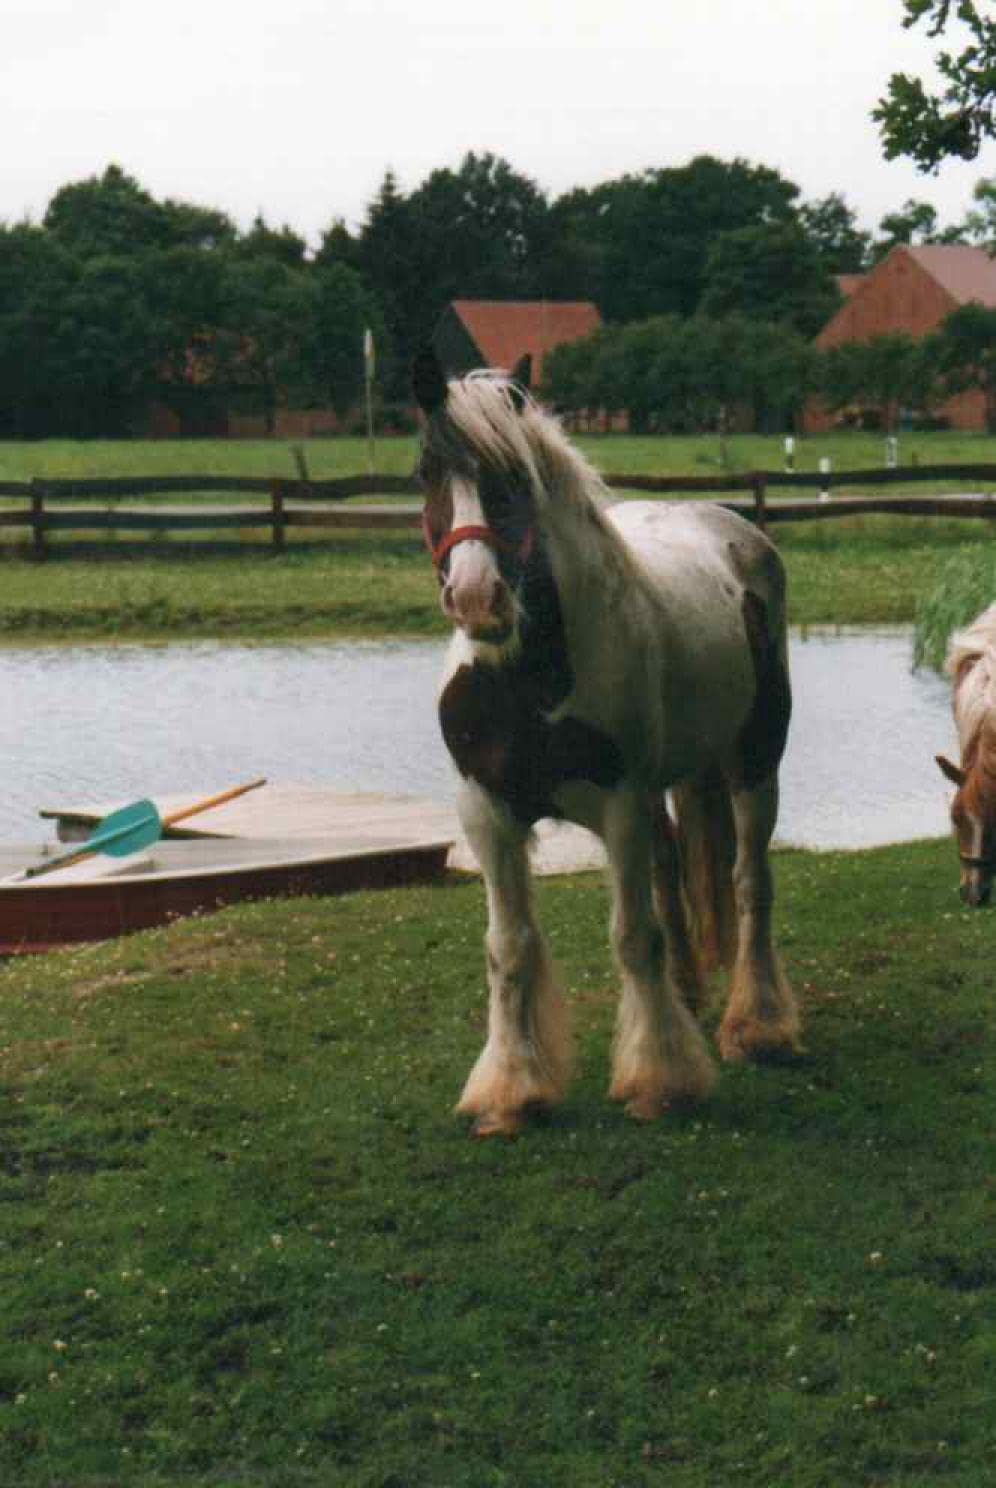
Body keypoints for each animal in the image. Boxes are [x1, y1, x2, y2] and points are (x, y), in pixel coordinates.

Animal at [413, 347, 801, 1135]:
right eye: (427, 472)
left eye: (516, 476)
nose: (477, 598)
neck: (527, 679)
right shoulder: (486, 813)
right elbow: (510, 948)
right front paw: (511, 1091)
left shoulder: (618, 806)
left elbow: (632, 934)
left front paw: (660, 1078)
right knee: (674, 870)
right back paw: (688, 996)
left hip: (755, 762)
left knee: (751, 884)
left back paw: (758, 1026)